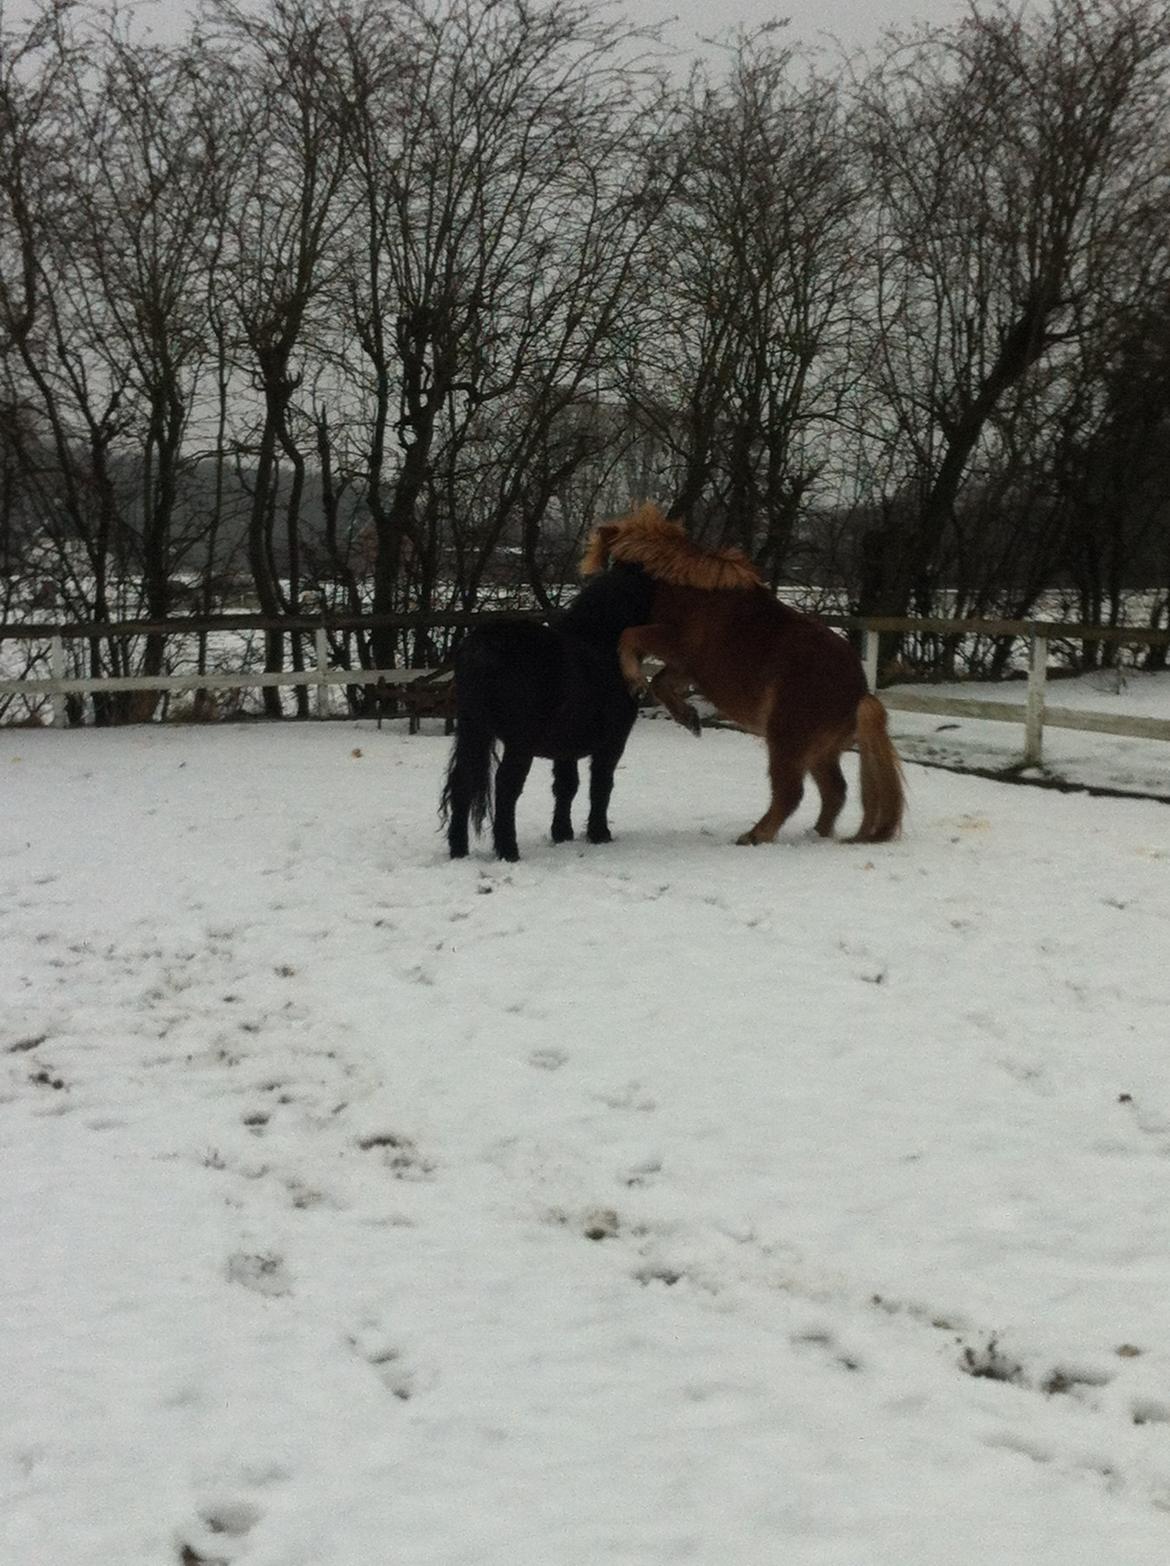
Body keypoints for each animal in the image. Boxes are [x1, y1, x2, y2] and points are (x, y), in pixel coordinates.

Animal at [440, 562, 658, 861]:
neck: (602, 645)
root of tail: (484, 645)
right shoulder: (612, 742)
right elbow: (601, 785)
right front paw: (599, 834)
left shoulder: (567, 746)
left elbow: (566, 786)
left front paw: (562, 833)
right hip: (518, 742)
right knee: (506, 786)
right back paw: (509, 851)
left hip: (473, 730)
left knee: (463, 782)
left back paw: (458, 851)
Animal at [582, 503, 905, 846]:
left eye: (617, 569)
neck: (689, 593)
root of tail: (860, 694)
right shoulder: (687, 666)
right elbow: (660, 682)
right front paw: (689, 718)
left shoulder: (675, 645)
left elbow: (630, 638)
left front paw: (635, 682)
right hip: (820, 752)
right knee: (834, 792)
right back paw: (816, 835)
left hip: (787, 742)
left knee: (791, 793)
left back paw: (755, 835)